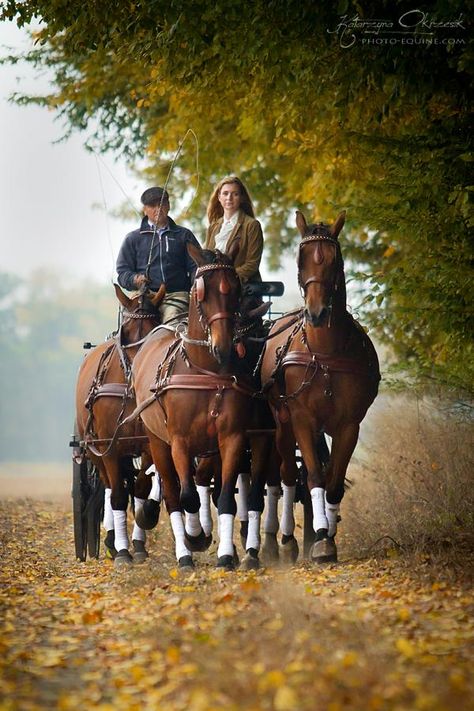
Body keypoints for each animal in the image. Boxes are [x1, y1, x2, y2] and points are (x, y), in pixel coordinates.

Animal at [75, 284, 165, 568]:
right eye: (126, 331)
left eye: (156, 329)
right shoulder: (110, 446)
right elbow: (116, 496)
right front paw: (122, 551)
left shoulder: (148, 444)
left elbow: (141, 488)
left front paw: (139, 542)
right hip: (94, 448)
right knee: (107, 487)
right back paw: (112, 541)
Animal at [131, 245, 256, 572]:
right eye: (202, 291)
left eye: (235, 288)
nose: (223, 347)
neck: (205, 371)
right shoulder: (179, 441)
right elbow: (185, 497)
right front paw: (194, 538)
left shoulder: (231, 438)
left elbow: (224, 498)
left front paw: (224, 555)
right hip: (157, 440)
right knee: (173, 493)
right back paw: (183, 550)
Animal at [262, 210, 380, 560]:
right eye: (301, 259)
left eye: (334, 259)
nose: (316, 313)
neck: (326, 353)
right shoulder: (302, 418)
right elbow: (314, 476)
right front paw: (320, 536)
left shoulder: (349, 424)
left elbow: (334, 481)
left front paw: (326, 536)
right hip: (281, 423)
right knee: (287, 475)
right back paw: (284, 539)